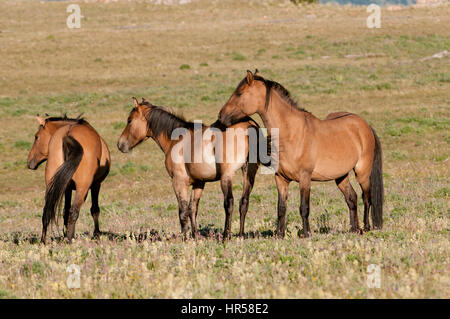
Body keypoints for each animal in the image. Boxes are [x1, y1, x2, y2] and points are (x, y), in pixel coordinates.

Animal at [27, 116, 110, 244]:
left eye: (36, 137)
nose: (29, 162)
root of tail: (68, 134)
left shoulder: (67, 188)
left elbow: (65, 211)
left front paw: (65, 233)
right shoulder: (96, 185)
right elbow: (95, 210)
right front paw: (96, 235)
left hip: (52, 185)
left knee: (47, 211)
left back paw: (43, 241)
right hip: (82, 188)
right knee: (74, 211)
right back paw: (70, 240)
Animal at [117, 97, 264, 240]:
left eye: (129, 120)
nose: (120, 144)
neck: (176, 140)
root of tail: (249, 125)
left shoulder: (179, 182)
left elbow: (183, 211)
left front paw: (185, 238)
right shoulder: (199, 183)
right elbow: (192, 209)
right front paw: (195, 236)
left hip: (227, 176)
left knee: (229, 203)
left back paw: (226, 236)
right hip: (249, 173)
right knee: (244, 202)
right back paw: (241, 235)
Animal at [218, 70, 384, 240]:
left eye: (239, 93)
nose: (221, 116)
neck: (292, 133)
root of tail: (364, 125)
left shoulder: (305, 177)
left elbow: (304, 207)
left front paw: (306, 233)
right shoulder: (281, 179)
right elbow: (281, 208)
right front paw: (280, 234)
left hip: (362, 172)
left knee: (366, 197)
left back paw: (366, 227)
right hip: (341, 176)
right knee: (352, 198)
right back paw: (354, 229)